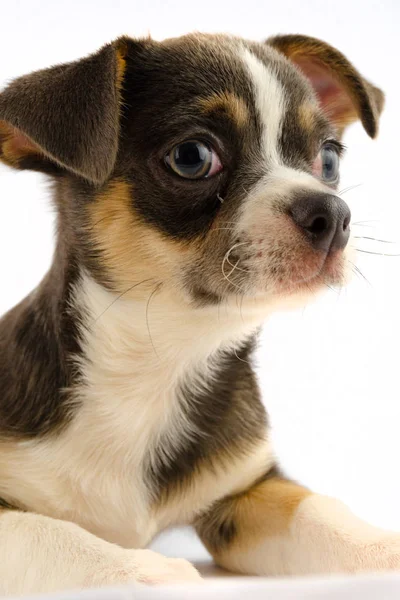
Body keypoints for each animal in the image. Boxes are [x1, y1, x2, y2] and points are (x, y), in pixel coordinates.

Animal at [0, 32, 394, 596]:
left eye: (329, 160)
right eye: (192, 157)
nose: (333, 213)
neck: (157, 360)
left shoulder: (247, 492)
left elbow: (317, 511)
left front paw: (384, 547)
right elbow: (44, 533)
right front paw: (143, 571)